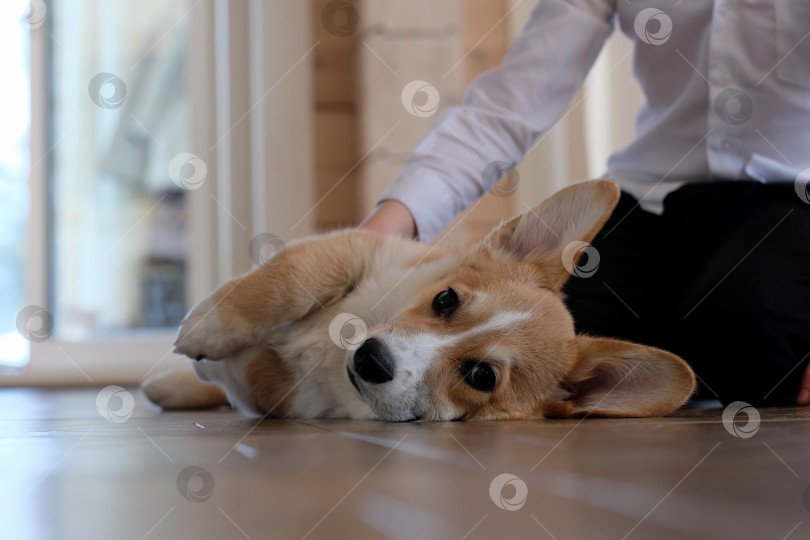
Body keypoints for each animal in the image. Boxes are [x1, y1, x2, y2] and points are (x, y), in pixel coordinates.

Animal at [142, 181, 692, 422]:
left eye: (481, 377)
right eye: (445, 299)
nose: (370, 358)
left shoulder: (287, 395)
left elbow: (245, 373)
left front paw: (213, 355)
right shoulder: (354, 251)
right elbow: (284, 279)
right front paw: (208, 325)